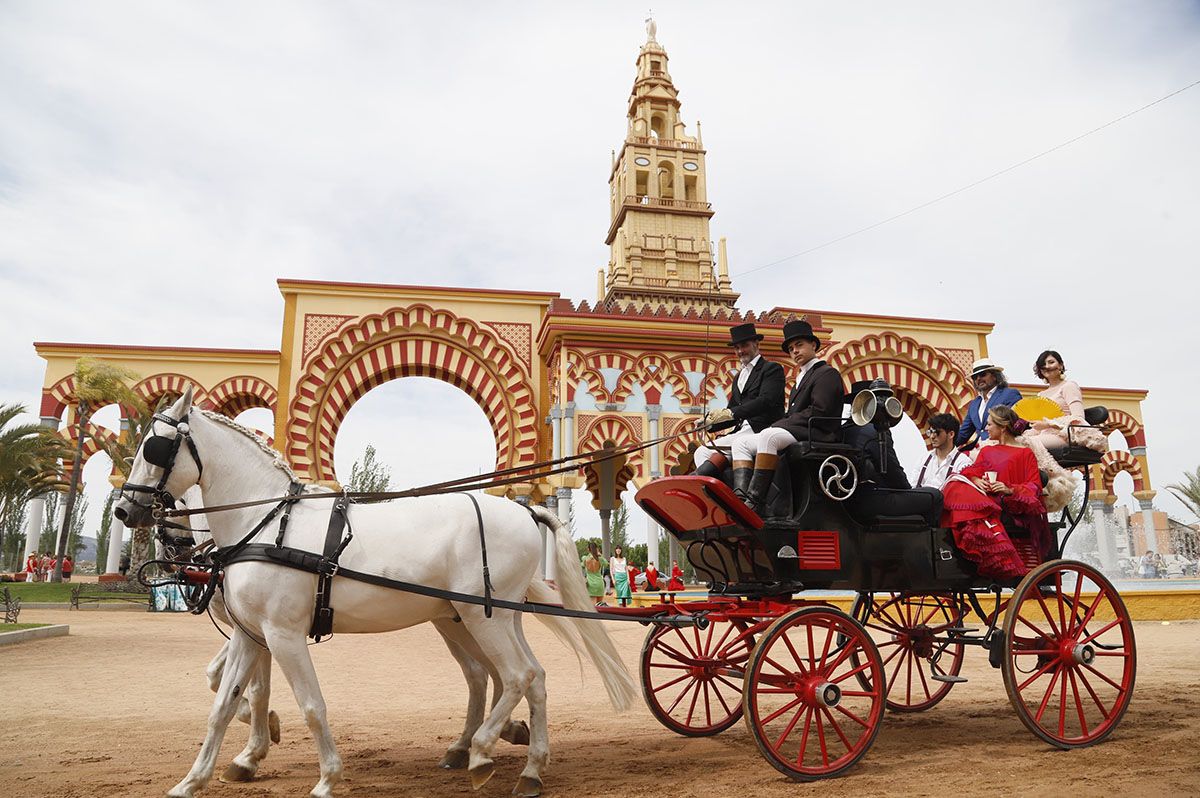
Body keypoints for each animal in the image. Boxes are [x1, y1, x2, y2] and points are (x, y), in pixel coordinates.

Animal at [115, 388, 633, 792]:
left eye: (154, 447)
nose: (123, 510)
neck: (265, 523)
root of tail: (525, 511)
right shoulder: (250, 634)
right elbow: (223, 703)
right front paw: (195, 779)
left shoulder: (282, 634)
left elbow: (310, 705)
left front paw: (326, 777)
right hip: (485, 618)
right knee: (523, 677)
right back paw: (526, 768)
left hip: (484, 618)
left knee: (518, 675)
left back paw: (484, 750)